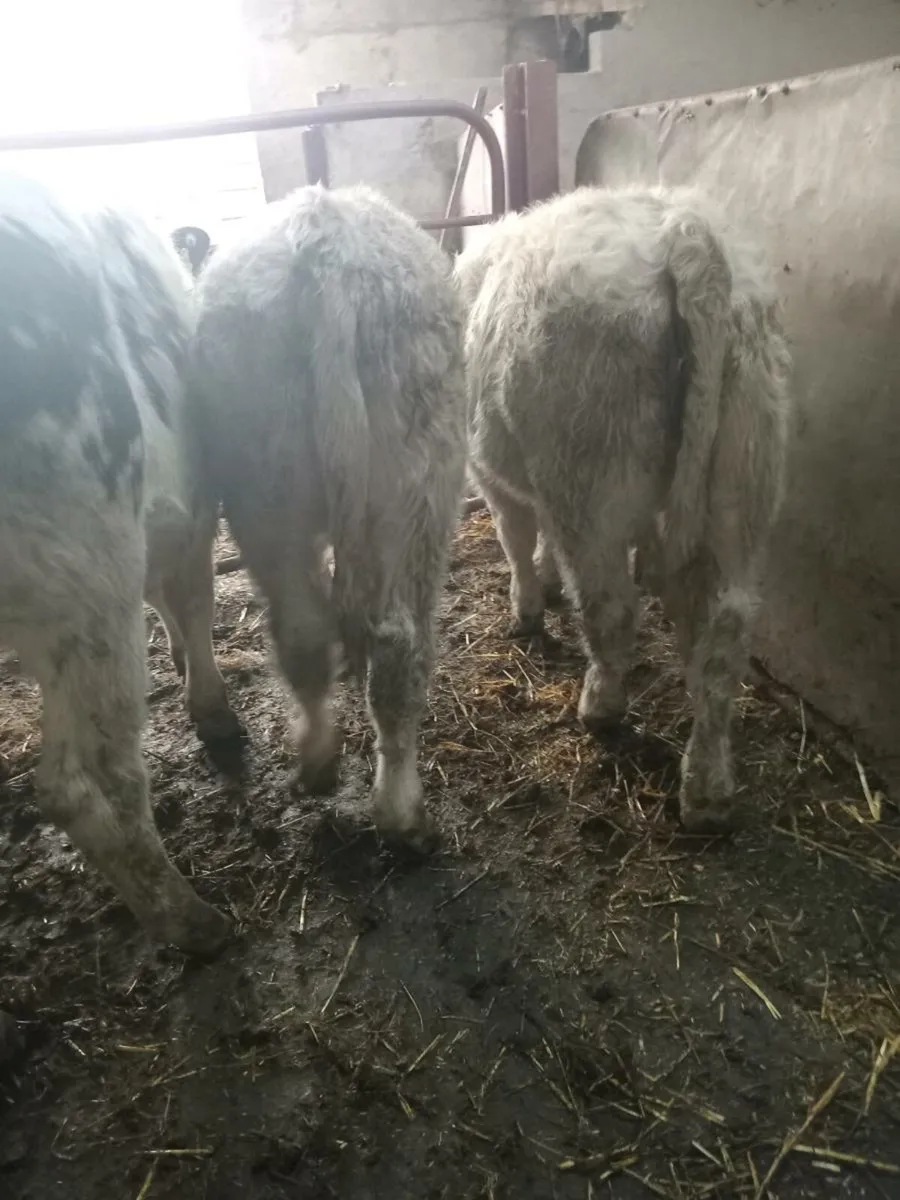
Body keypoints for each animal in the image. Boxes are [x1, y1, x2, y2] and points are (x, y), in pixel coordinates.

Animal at [0, 168, 235, 958]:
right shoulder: (193, 504)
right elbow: (192, 599)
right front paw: (210, 704)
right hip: (86, 571)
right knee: (86, 778)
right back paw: (188, 920)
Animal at [177, 184, 468, 847]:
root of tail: (326, 236)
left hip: (265, 492)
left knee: (305, 631)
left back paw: (317, 764)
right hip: (419, 489)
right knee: (397, 646)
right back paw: (399, 811)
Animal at [455, 185, 793, 834]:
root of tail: (685, 233)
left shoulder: (493, 475)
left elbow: (516, 539)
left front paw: (527, 606)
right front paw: (545, 586)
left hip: (590, 486)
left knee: (610, 610)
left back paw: (601, 706)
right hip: (743, 480)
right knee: (725, 632)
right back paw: (707, 789)